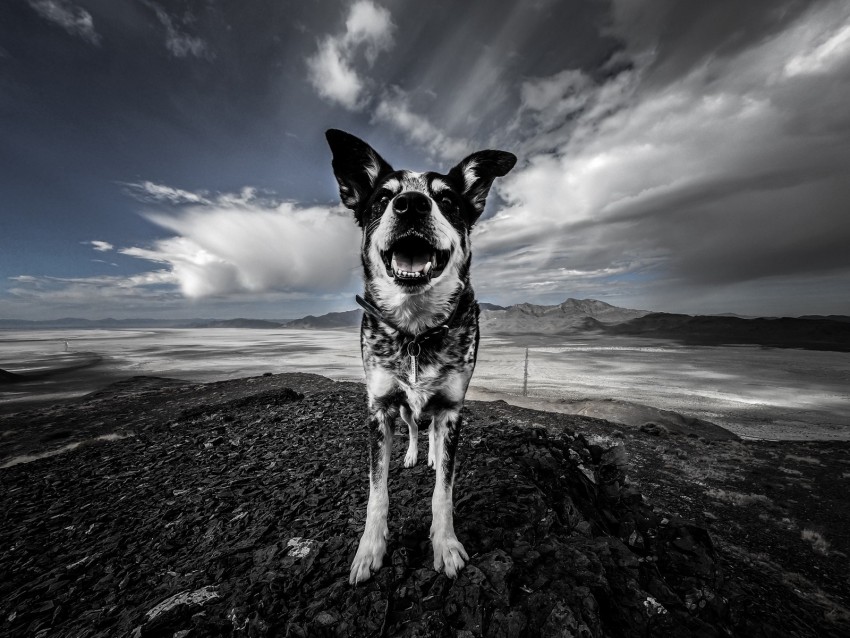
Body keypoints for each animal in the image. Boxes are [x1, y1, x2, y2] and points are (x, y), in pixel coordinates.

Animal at [322, 129, 512, 584]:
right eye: (382, 197)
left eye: (447, 200)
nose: (411, 203)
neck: (415, 330)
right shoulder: (378, 408)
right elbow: (377, 490)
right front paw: (369, 550)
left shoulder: (452, 409)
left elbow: (444, 489)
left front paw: (446, 546)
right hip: (402, 407)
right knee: (411, 426)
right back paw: (411, 452)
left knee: (431, 437)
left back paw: (428, 455)